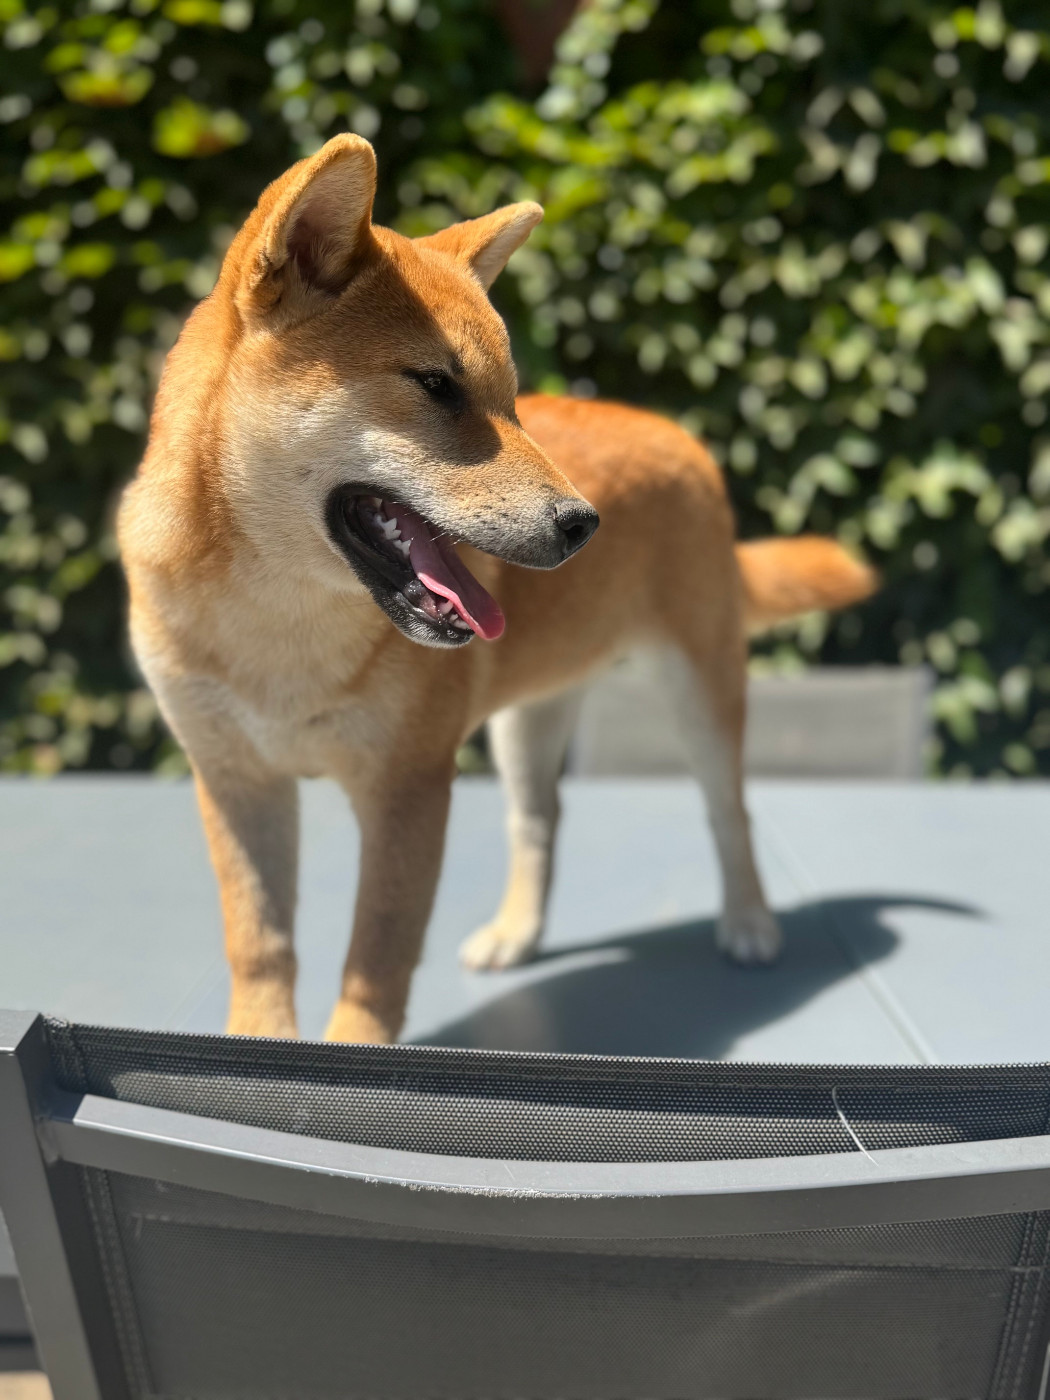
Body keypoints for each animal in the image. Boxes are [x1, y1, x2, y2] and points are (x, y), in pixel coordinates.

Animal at [118, 133, 875, 1044]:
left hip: (699, 689)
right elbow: (261, 947)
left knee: (731, 812)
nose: (584, 524)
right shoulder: (236, 783)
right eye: (436, 384)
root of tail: (676, 432)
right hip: (527, 720)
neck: (276, 618)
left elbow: (374, 962)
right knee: (538, 821)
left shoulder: (407, 789)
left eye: (513, 401)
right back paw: (519, 932)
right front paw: (261, 1049)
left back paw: (752, 922)